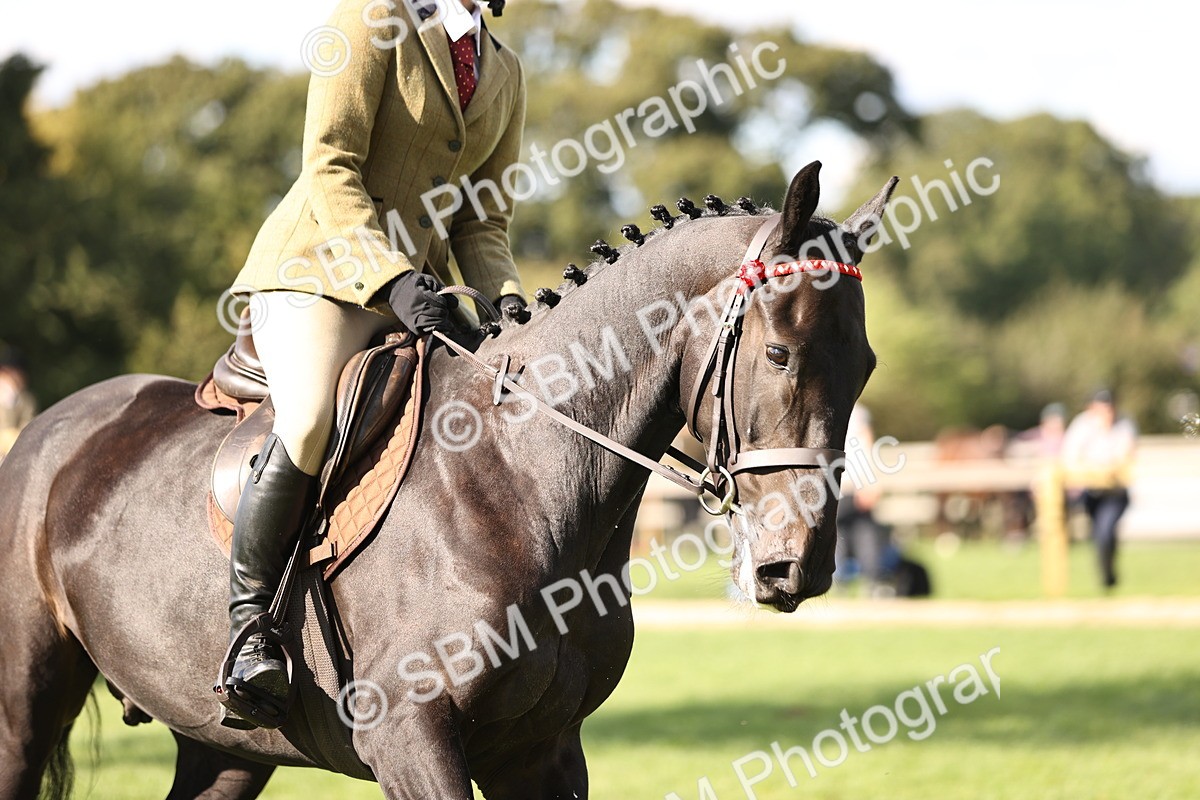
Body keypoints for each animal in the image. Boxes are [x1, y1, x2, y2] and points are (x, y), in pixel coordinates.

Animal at [0, 161, 895, 799]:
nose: (800, 565)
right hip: (23, 708)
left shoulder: (541, 751)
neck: (521, 477)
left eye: (866, 368)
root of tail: (43, 432)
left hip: (224, 746)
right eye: (778, 354)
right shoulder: (411, 740)